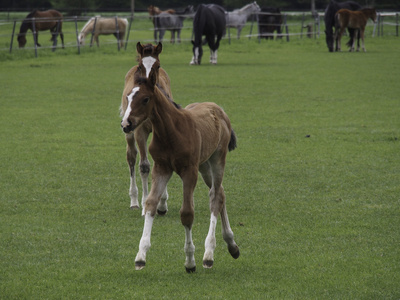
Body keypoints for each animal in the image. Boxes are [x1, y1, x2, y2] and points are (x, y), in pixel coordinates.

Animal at [119, 42, 172, 214]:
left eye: (158, 65)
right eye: (140, 66)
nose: (147, 82)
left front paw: (162, 204)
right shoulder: (139, 131)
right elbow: (144, 166)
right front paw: (145, 204)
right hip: (129, 131)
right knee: (131, 156)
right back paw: (134, 201)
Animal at [121, 61, 241, 272]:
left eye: (145, 99)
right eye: (128, 97)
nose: (126, 124)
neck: (171, 131)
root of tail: (218, 108)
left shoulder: (189, 172)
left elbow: (186, 213)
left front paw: (190, 261)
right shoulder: (161, 168)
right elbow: (151, 204)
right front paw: (141, 256)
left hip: (217, 159)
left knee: (216, 197)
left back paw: (209, 254)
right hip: (204, 165)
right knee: (221, 193)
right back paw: (231, 245)